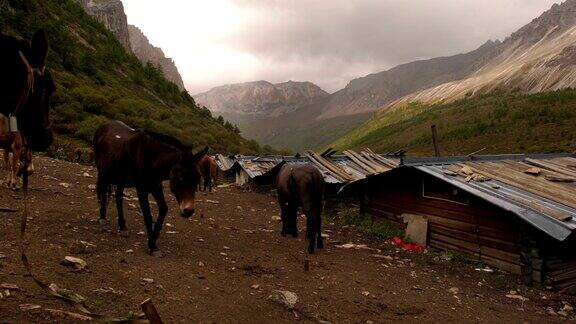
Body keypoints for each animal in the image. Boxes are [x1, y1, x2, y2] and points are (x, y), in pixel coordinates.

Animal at [94, 120, 209, 254]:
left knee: (118, 198)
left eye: (197, 180)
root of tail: (104, 125)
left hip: (120, 179)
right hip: (103, 173)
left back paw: (122, 226)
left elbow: (164, 209)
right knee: (103, 192)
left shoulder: (156, 187)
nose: (189, 211)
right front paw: (152, 246)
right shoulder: (142, 190)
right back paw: (102, 217)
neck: (152, 158)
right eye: (181, 179)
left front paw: (153, 240)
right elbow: (148, 216)